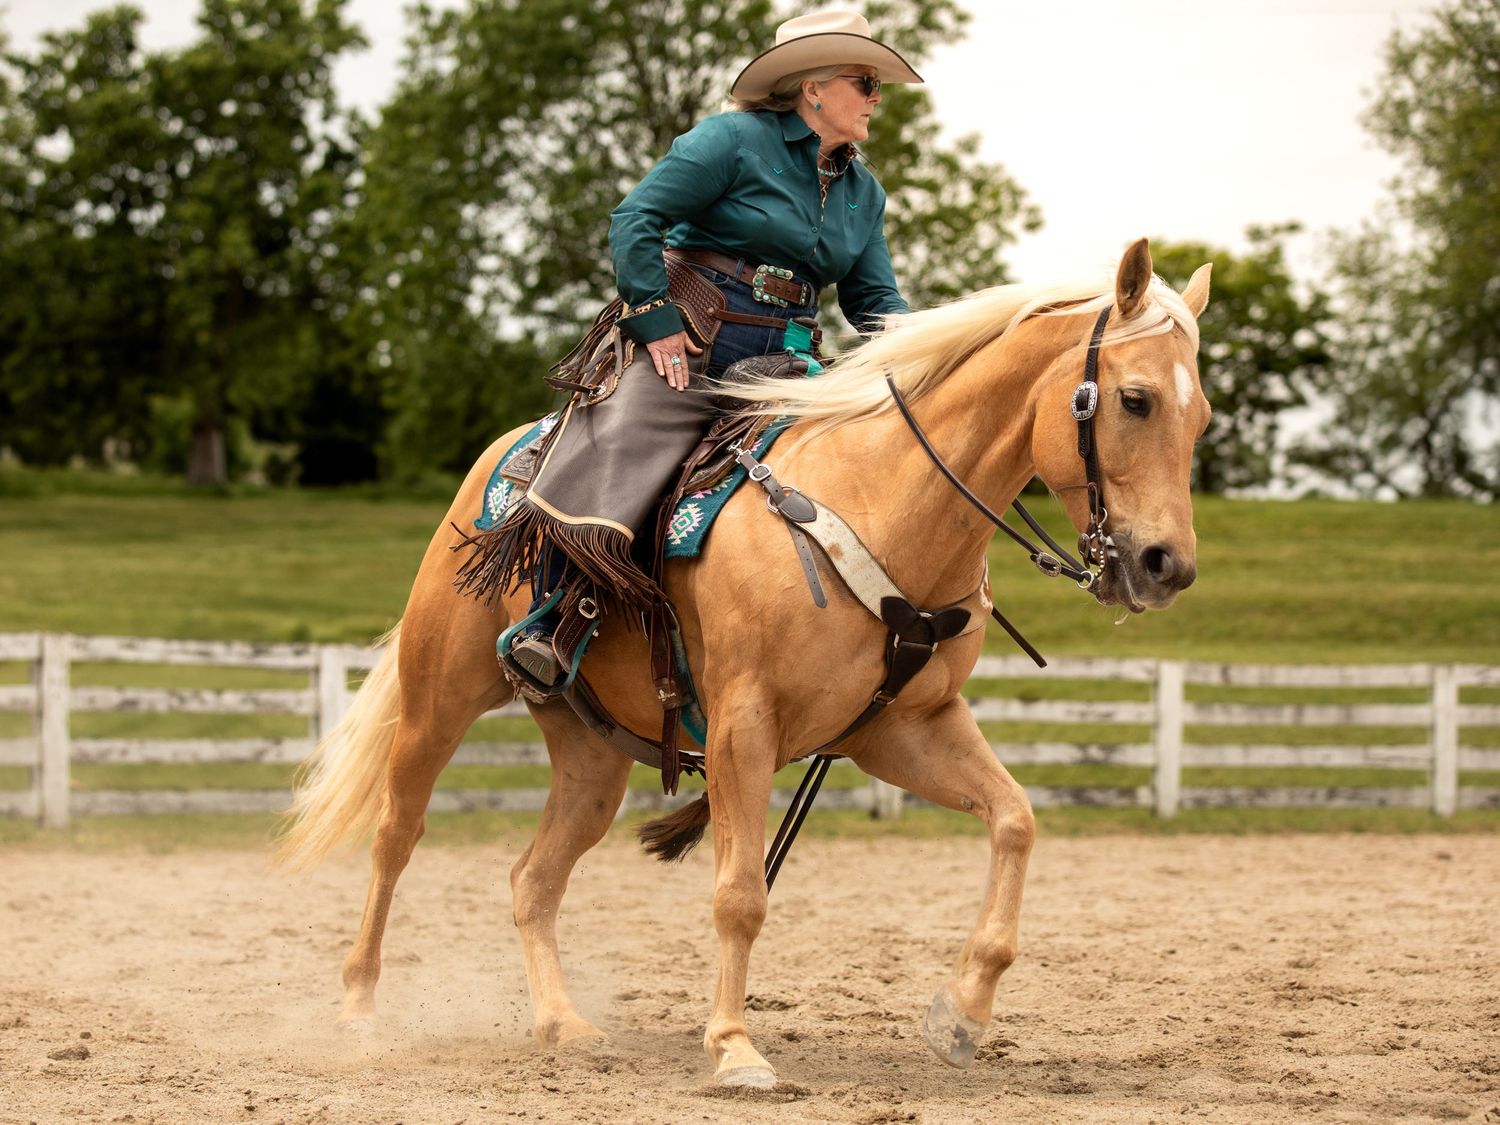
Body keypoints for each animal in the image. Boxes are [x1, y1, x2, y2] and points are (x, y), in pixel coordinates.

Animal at [276, 238, 1212, 1087]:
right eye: (1133, 399)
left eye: (1200, 417)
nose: (1166, 565)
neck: (878, 501)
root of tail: (502, 459)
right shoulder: (743, 725)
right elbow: (739, 896)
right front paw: (733, 1047)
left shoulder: (903, 729)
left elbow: (1015, 820)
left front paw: (963, 1014)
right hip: (439, 700)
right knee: (396, 836)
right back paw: (359, 1007)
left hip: (591, 755)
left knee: (531, 879)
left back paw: (563, 1024)